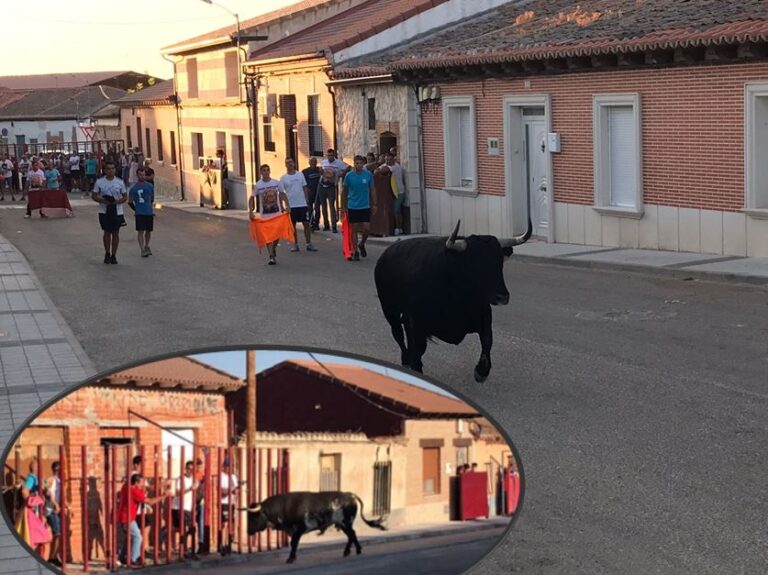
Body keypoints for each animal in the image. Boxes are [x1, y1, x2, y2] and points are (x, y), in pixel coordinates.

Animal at [248, 492, 388, 564]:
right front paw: (292, 557)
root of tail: (349, 495)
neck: (283, 507)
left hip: (346, 523)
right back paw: (349, 551)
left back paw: (356, 550)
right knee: (351, 535)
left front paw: (291, 558)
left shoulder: (298, 530)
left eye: (253, 517)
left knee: (352, 534)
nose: (248, 532)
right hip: (343, 524)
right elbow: (293, 544)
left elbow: (294, 544)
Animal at [374, 219, 532, 382]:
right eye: (474, 263)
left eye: (499, 261)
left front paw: (481, 371)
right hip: (389, 309)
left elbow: (487, 340)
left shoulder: (484, 314)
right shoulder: (416, 323)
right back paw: (406, 360)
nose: (502, 297)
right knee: (398, 335)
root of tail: (388, 252)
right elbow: (417, 349)